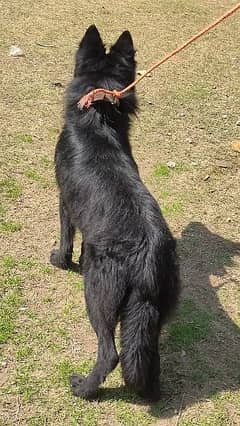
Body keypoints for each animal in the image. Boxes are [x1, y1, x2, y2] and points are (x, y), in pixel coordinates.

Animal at [50, 25, 180, 402]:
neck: (99, 119)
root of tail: (149, 259)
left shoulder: (64, 200)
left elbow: (66, 239)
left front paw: (59, 260)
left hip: (98, 295)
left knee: (109, 353)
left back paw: (84, 388)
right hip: (151, 316)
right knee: (146, 357)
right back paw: (150, 393)